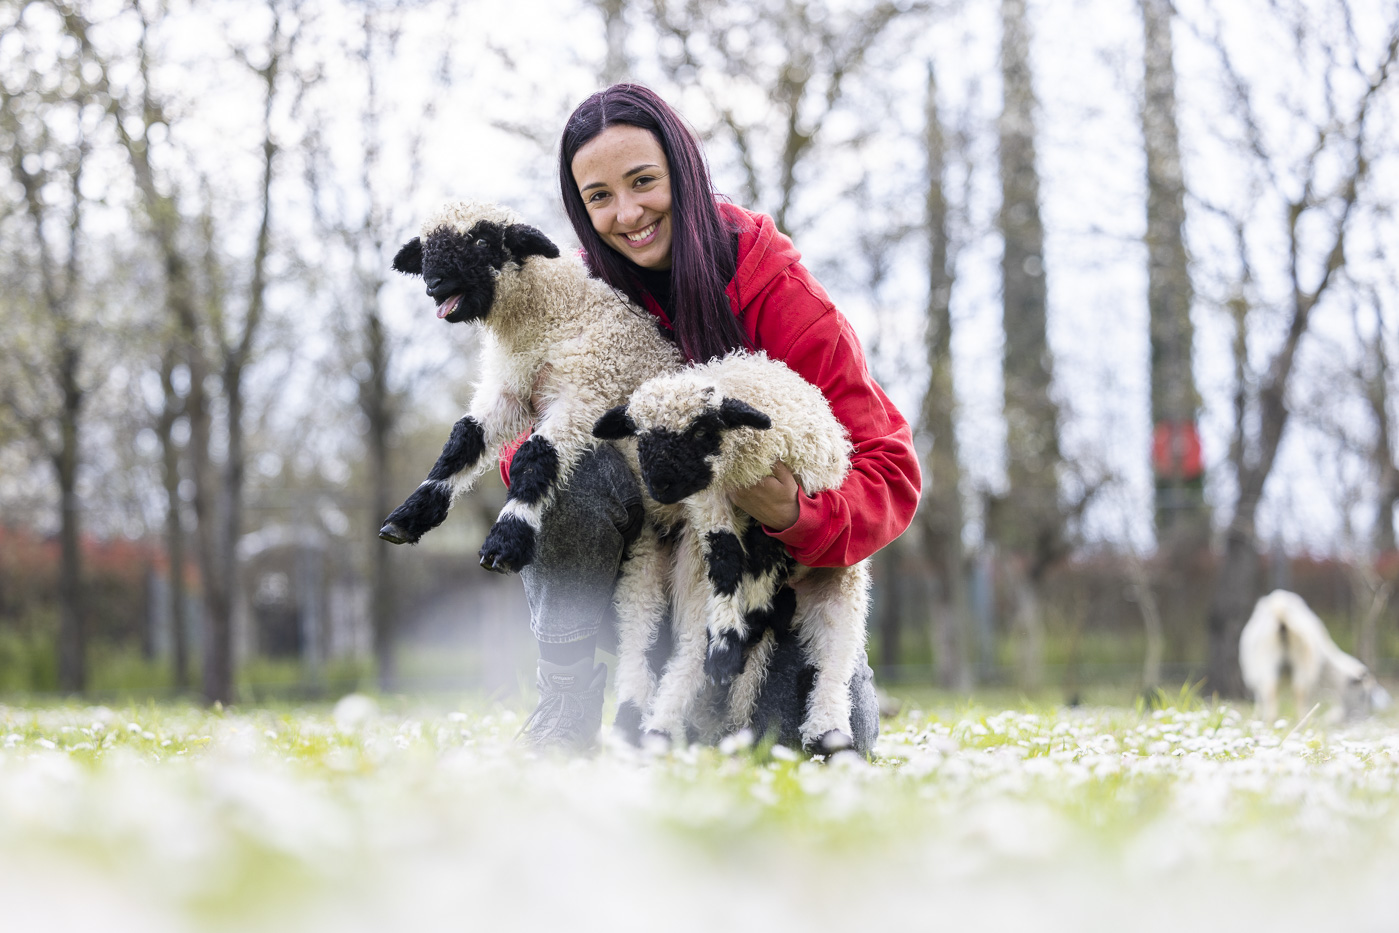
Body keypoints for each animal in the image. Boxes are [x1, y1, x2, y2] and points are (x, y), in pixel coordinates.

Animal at [374, 201, 685, 721]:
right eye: (427, 246)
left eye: (482, 240)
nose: (434, 285)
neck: (544, 319)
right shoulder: (509, 391)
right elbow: (463, 439)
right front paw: (411, 513)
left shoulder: (583, 392)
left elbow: (534, 456)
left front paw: (505, 539)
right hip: (643, 554)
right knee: (640, 632)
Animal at [593, 349, 872, 749]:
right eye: (640, 436)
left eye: (700, 431)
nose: (659, 485)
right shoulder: (709, 505)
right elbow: (725, 558)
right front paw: (726, 645)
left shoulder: (780, 517)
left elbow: (759, 567)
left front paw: (740, 632)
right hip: (661, 575)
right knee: (659, 641)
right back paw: (652, 725)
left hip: (841, 587)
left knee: (833, 660)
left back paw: (829, 737)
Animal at [1236, 590, 1387, 721]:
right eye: (1363, 696)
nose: (1362, 717)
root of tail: (1281, 613)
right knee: (1295, 690)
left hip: (1274, 658)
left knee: (1274, 688)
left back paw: (1276, 718)